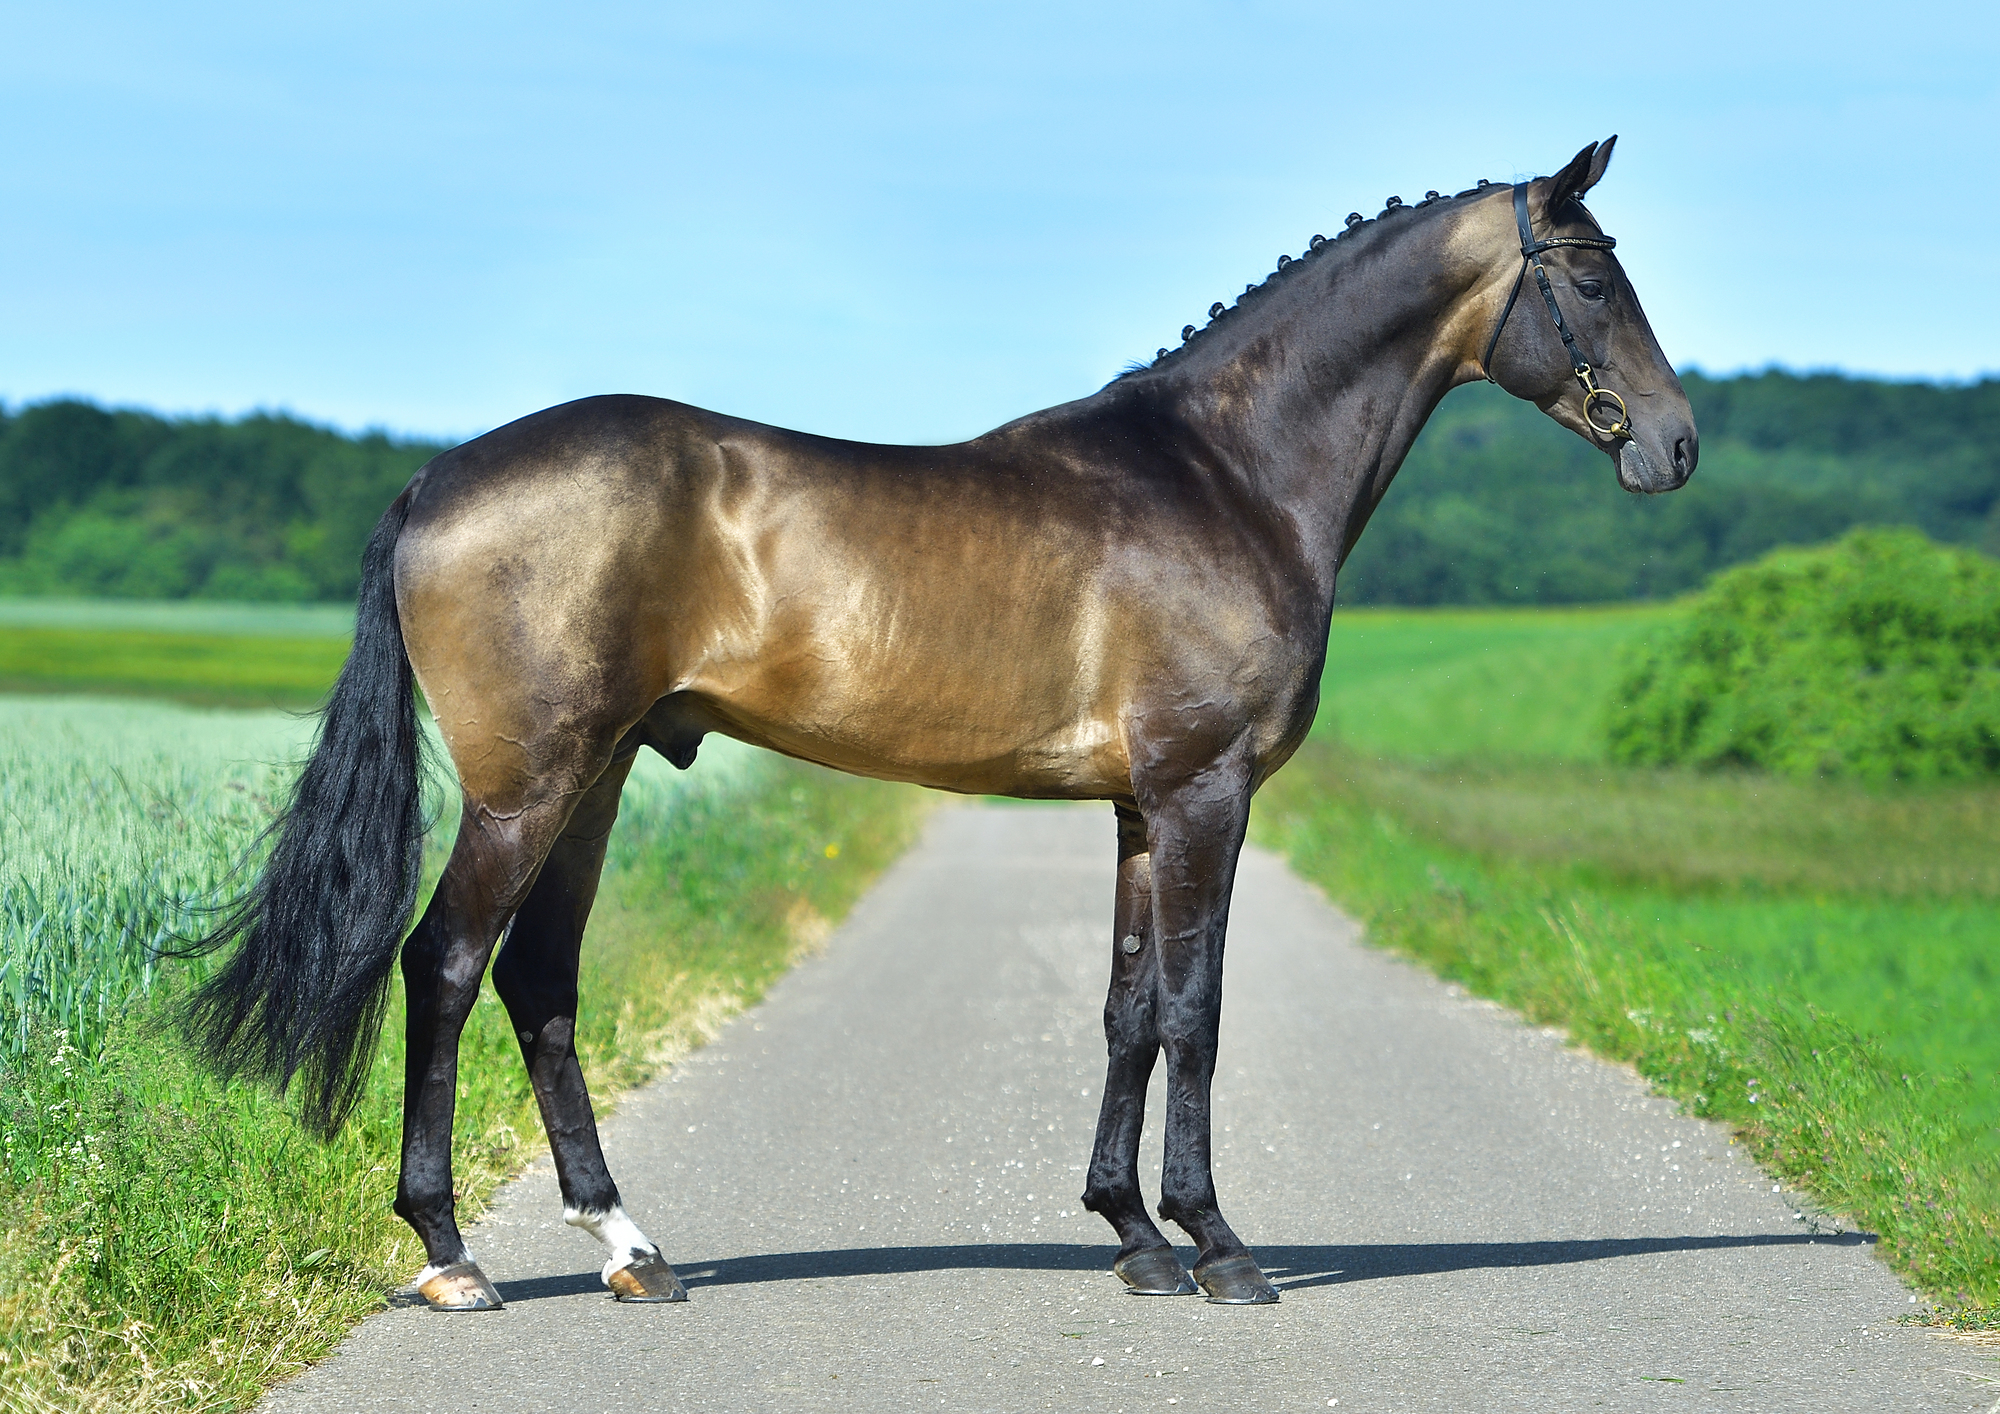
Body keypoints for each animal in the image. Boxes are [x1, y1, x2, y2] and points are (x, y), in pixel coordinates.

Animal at [186, 137, 1695, 1311]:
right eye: (1592, 277)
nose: (1674, 447)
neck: (1225, 472)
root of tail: (439, 476)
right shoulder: (1204, 795)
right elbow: (1196, 1011)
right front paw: (1217, 1245)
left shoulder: (1140, 808)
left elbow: (1127, 1011)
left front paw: (1133, 1236)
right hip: (529, 787)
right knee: (444, 964)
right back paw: (452, 1253)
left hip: (598, 778)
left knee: (538, 981)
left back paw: (631, 1246)